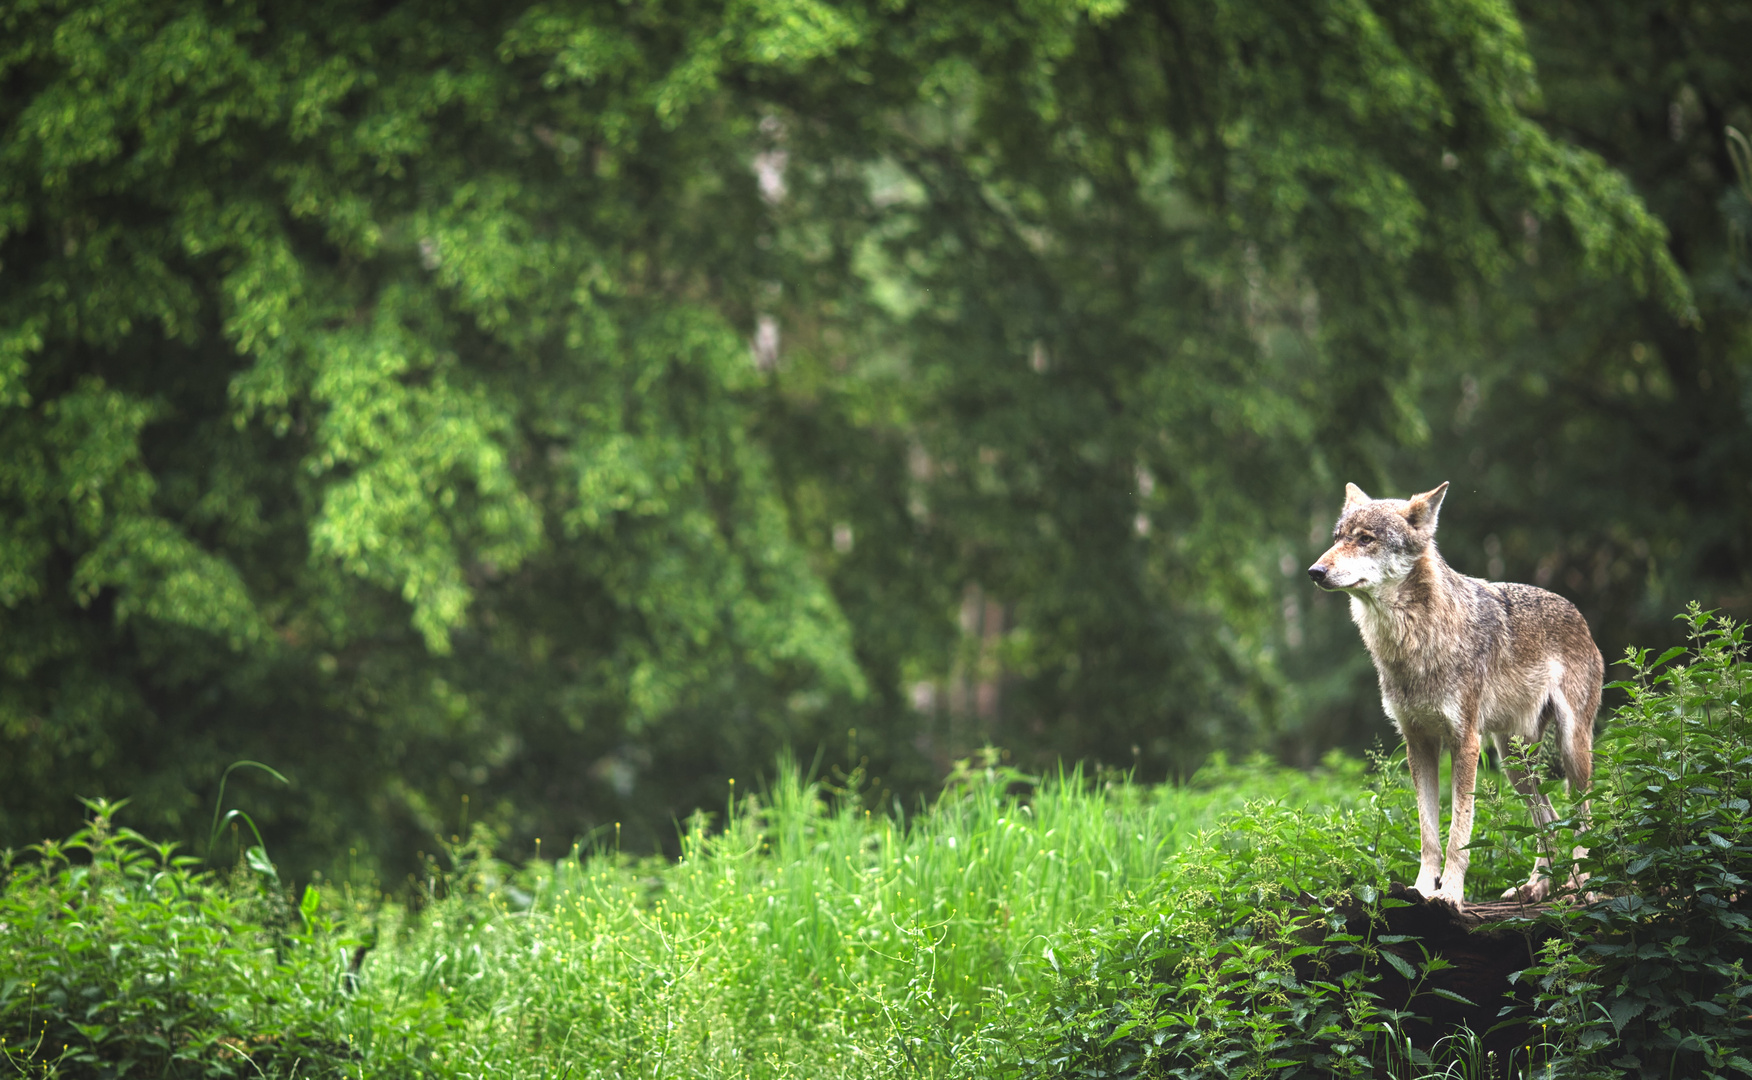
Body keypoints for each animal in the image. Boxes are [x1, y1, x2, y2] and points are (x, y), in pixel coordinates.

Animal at [1303, 483, 1604, 911]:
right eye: (1337, 538)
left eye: (1365, 539)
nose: (1315, 571)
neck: (1413, 638)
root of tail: (1578, 614)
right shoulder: (1418, 743)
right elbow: (1428, 833)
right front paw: (1420, 889)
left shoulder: (1466, 743)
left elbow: (1459, 831)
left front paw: (1450, 893)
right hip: (1514, 762)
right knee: (1547, 817)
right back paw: (1538, 886)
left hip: (1571, 750)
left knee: (1583, 816)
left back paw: (1583, 885)